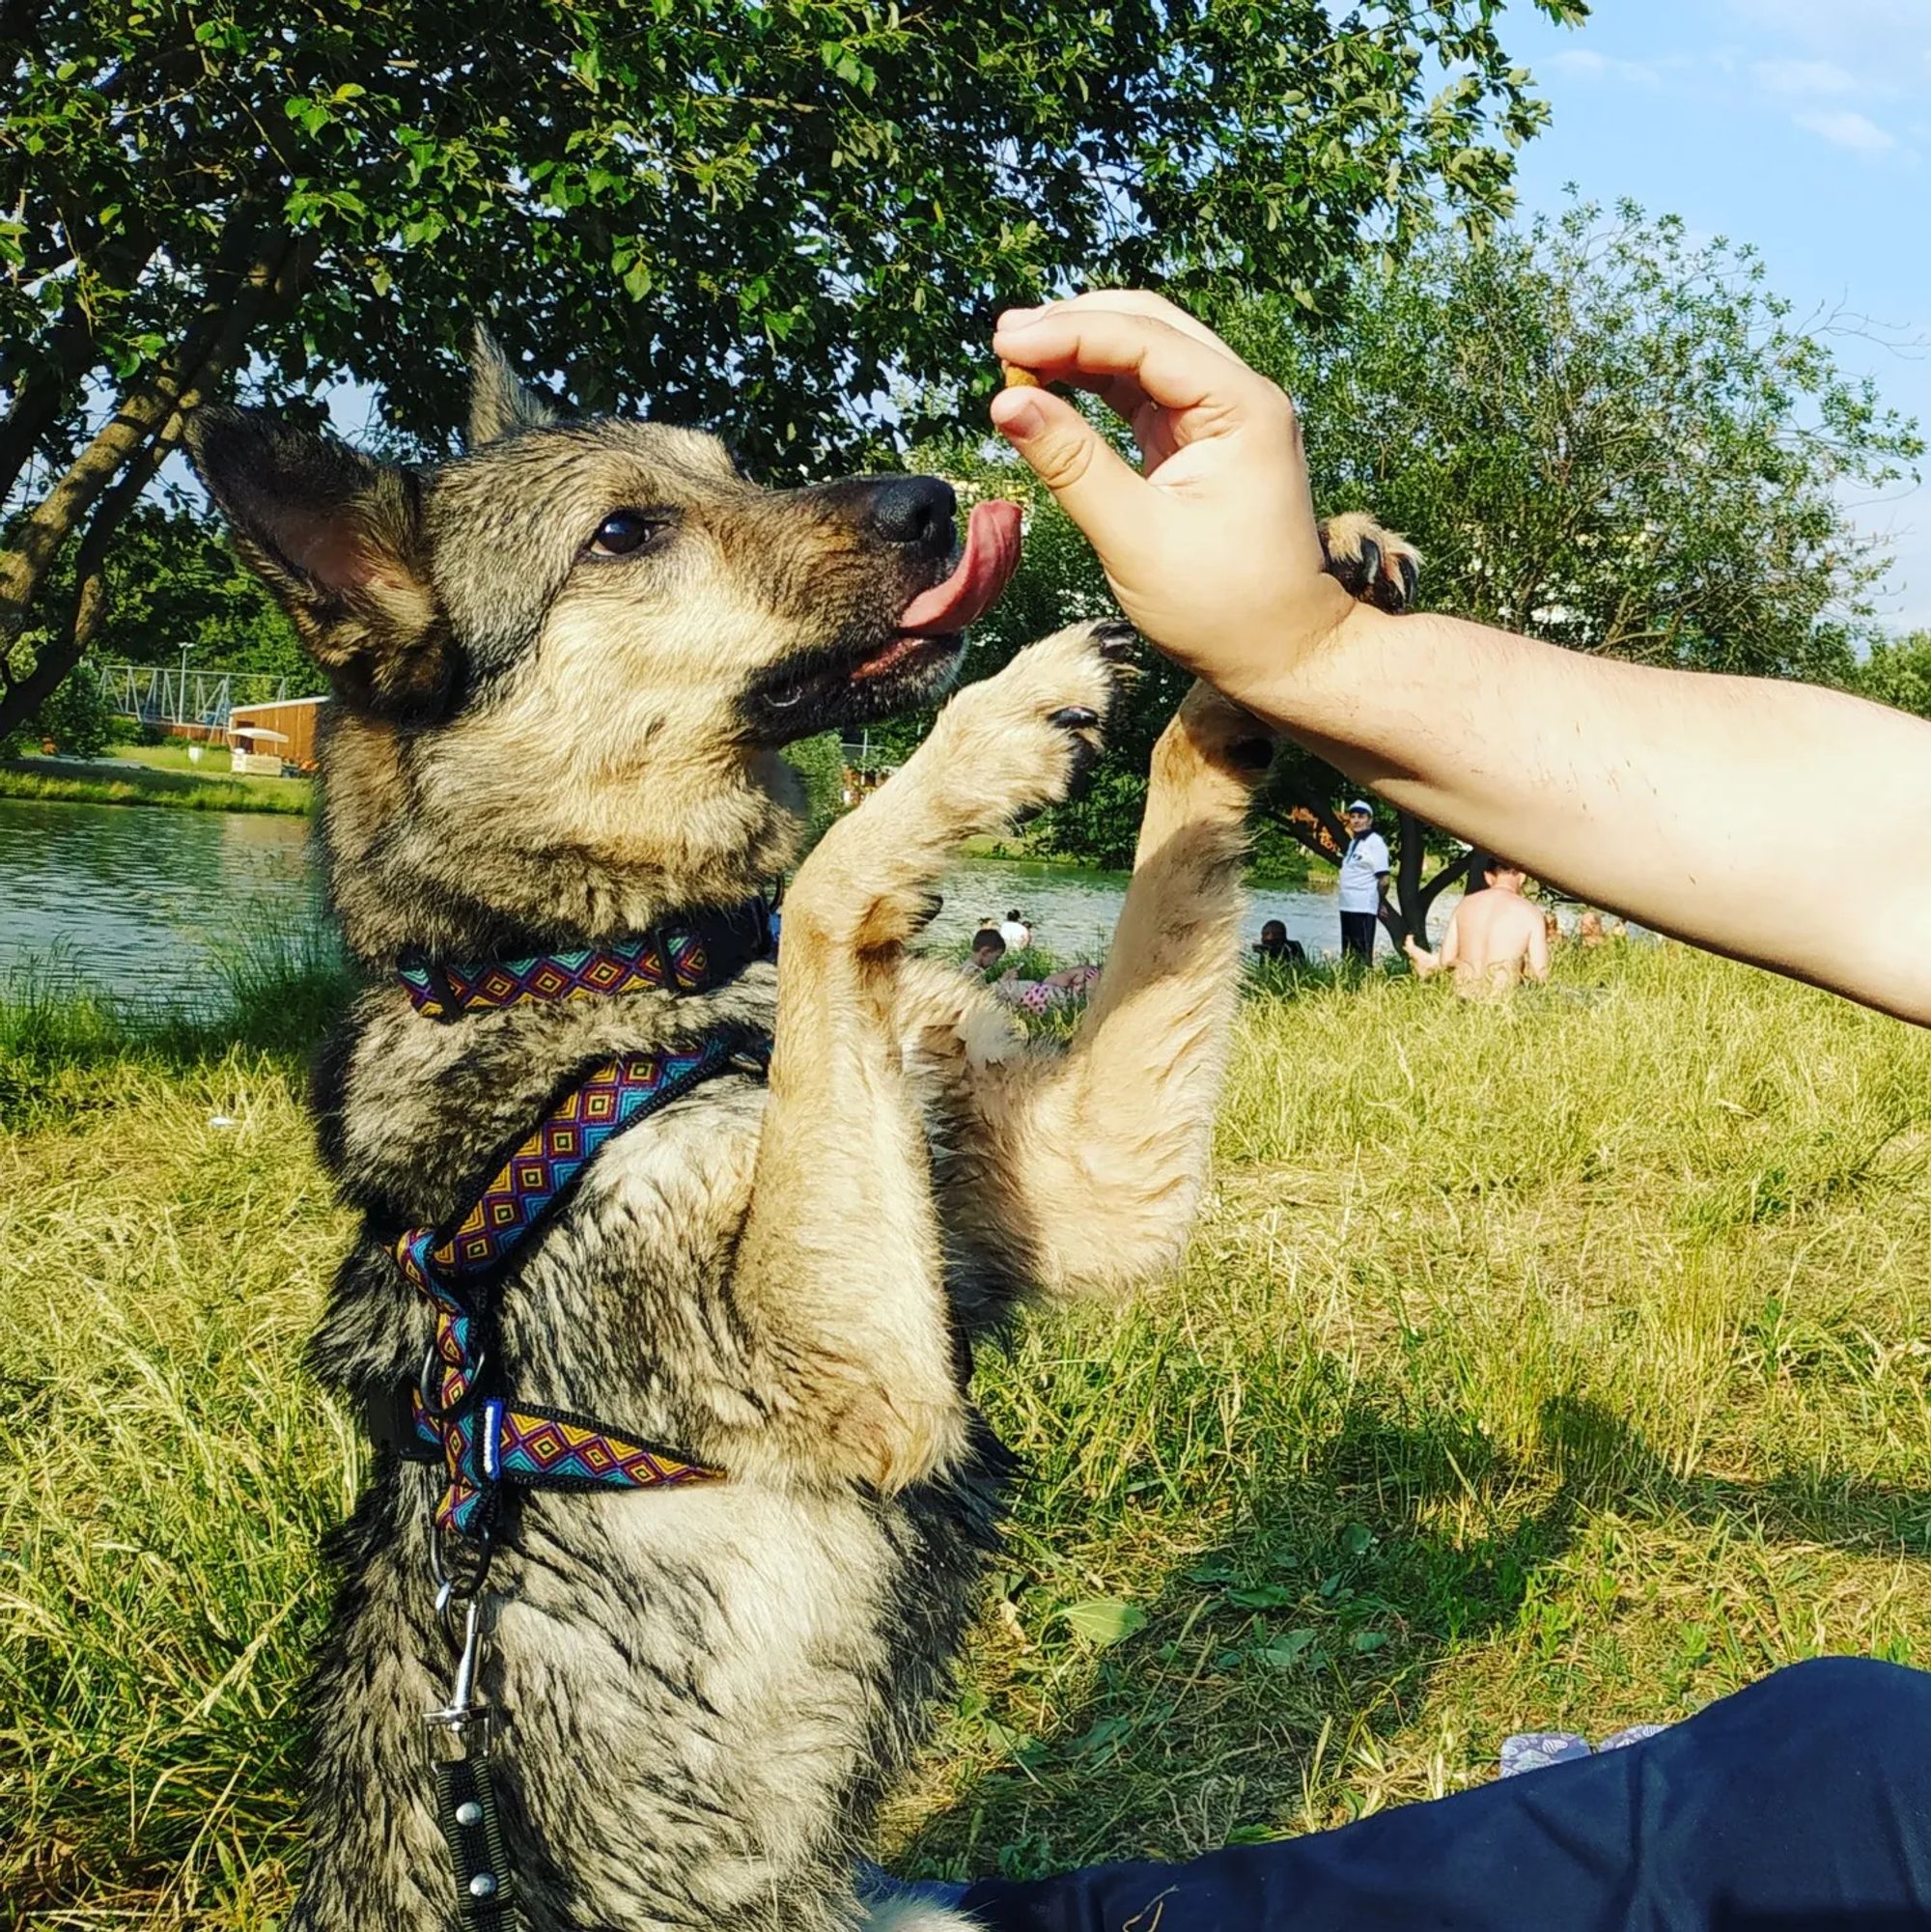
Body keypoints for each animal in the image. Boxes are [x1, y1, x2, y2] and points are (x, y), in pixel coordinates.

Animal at [184, 336, 1421, 1931]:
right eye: (625, 531)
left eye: (730, 466)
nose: (931, 500)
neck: (622, 965)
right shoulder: (848, 1361)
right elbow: (835, 871)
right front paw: (990, 727)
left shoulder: (1088, 1184)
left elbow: (1158, 801)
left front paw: (1268, 619)